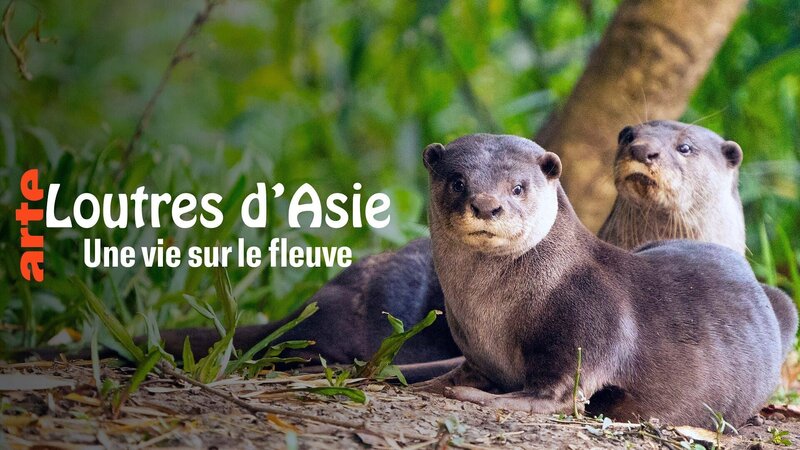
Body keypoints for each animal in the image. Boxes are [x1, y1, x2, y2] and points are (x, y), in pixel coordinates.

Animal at [420, 134, 795, 428]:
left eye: (517, 188)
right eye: (457, 182)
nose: (486, 205)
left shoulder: (590, 324)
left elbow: (559, 393)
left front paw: (475, 395)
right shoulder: (475, 353)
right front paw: (426, 383)